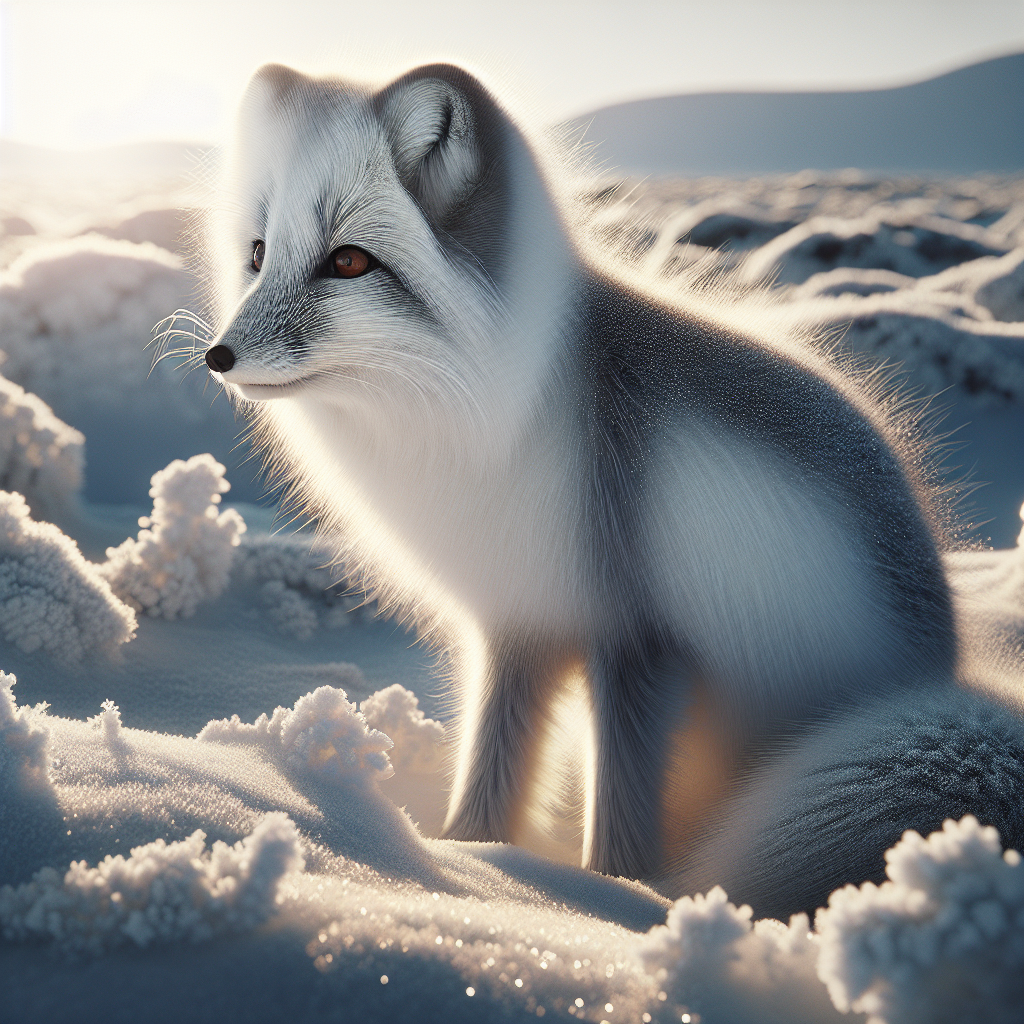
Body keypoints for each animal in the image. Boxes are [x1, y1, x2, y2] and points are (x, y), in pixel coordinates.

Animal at [201, 61, 1024, 917]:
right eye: (258, 253)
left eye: (350, 263)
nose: (217, 355)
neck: (512, 423)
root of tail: (945, 668)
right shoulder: (520, 619)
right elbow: (495, 761)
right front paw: (469, 858)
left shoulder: (636, 643)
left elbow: (622, 796)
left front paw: (613, 894)